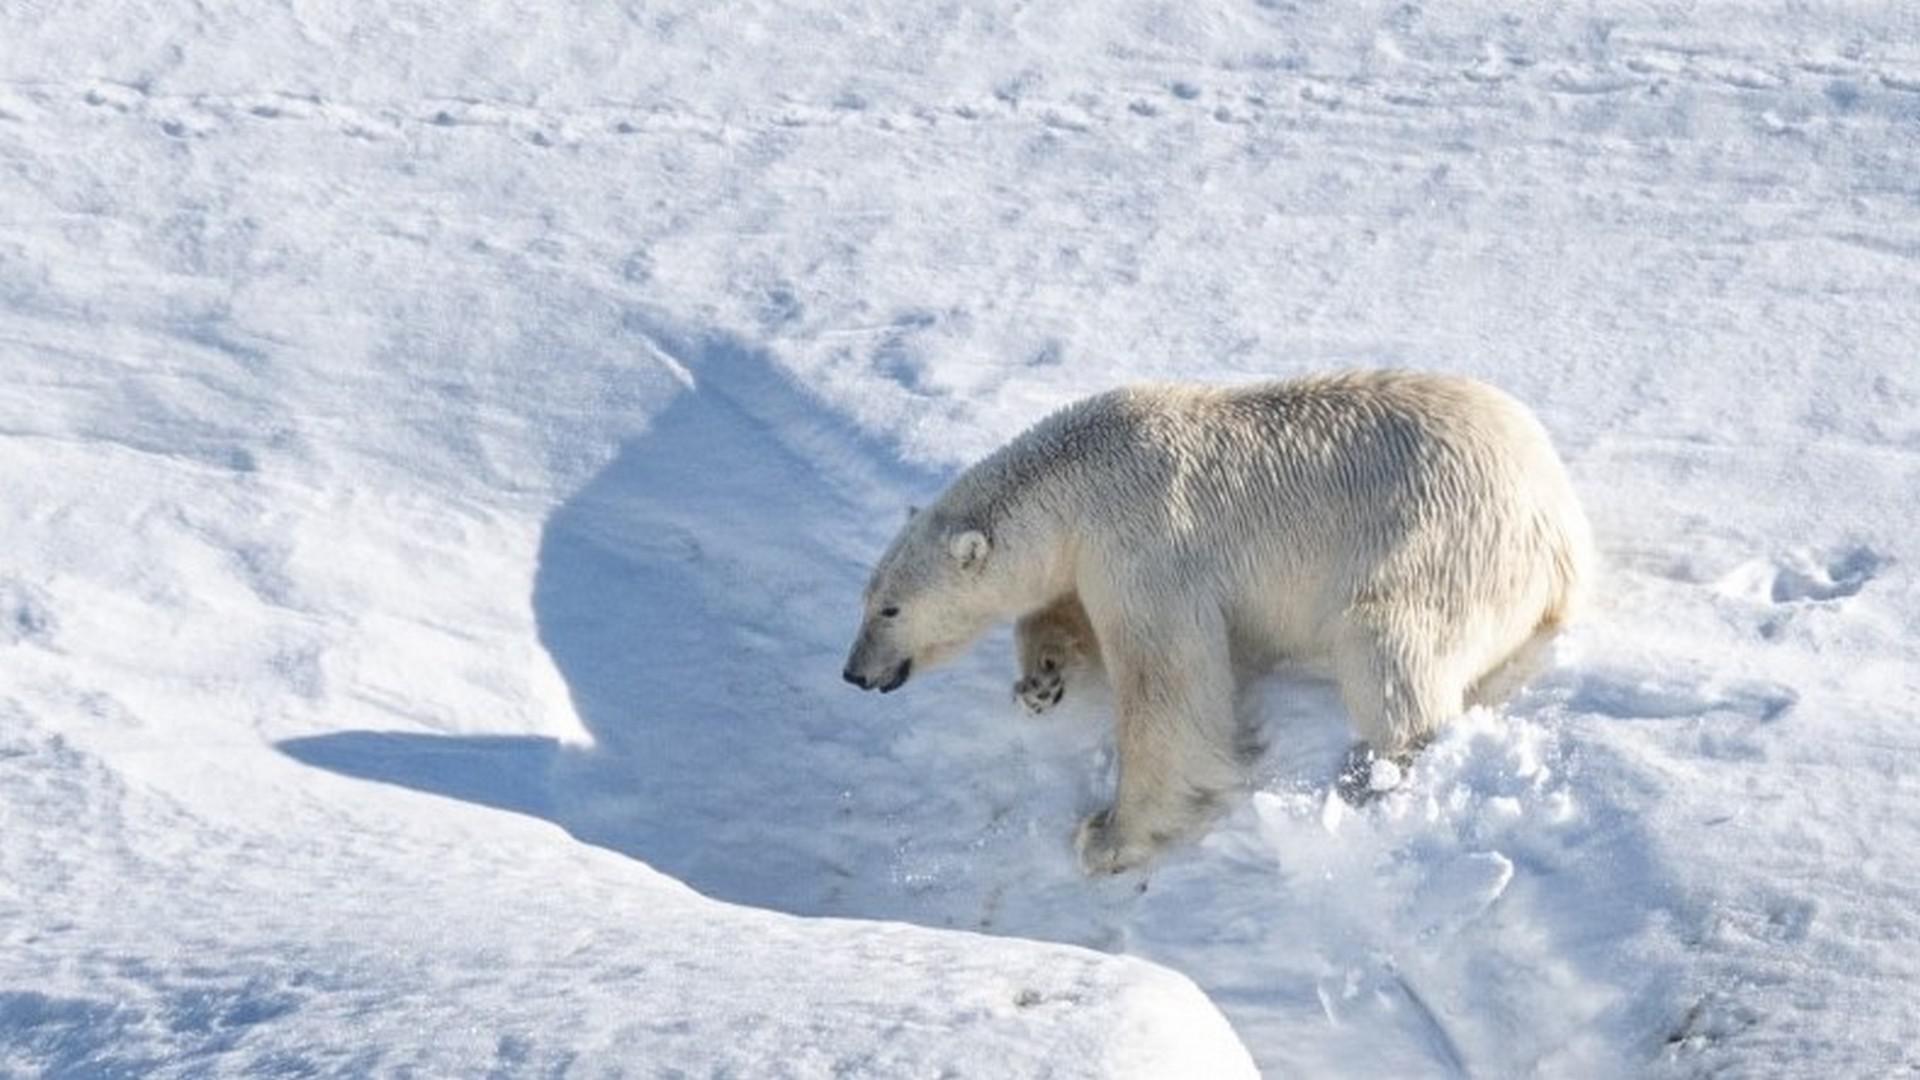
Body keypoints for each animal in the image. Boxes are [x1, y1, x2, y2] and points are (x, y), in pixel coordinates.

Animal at [840, 374, 1589, 868]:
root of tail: (1560, 524)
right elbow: (1064, 608)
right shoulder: (1094, 554)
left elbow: (1167, 686)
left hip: (1442, 545)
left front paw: (1108, 835)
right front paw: (1041, 679)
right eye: (865, 597)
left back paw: (1366, 779)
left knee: (1388, 651)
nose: (853, 672)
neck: (1078, 481)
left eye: (890, 607)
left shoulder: (1147, 544)